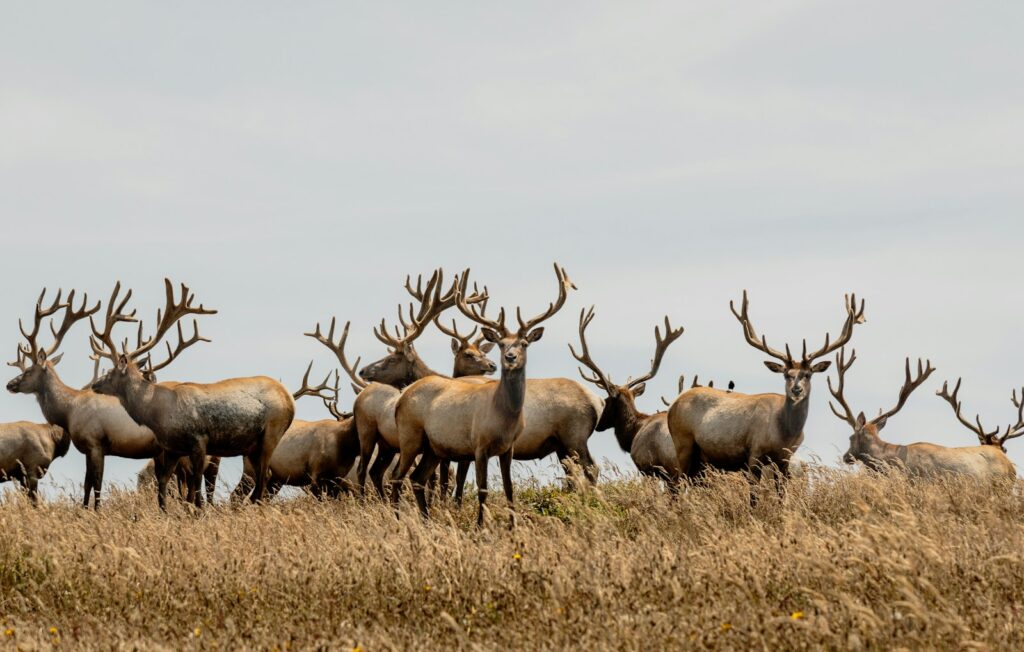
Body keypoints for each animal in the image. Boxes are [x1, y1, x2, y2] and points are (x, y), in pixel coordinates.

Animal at [5, 289, 174, 509]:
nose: (9, 384)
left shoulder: (95, 443)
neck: (69, 411)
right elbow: (87, 484)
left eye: (28, 371)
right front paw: (84, 509)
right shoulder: (87, 448)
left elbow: (97, 483)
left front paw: (96, 511)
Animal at [90, 279, 295, 508]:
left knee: (263, 476)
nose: (95, 384)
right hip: (251, 445)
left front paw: (197, 511)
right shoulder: (173, 448)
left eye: (111, 372)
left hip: (272, 431)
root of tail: (289, 398)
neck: (157, 413)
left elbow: (195, 485)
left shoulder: (199, 439)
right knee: (261, 477)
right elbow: (164, 482)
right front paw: (165, 511)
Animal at [305, 269, 492, 497]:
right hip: (376, 439)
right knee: (370, 471)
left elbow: (441, 479)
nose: (363, 370)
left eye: (393, 359)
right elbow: (437, 479)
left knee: (372, 472)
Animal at [392, 263, 575, 525]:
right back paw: (398, 520)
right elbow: (483, 488)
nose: (510, 357)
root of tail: (401, 398)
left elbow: (509, 488)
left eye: (524, 344)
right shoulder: (479, 444)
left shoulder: (508, 448)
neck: (503, 418)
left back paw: (427, 520)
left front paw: (512, 526)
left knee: (416, 478)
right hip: (410, 434)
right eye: (501, 344)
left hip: (433, 446)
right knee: (397, 477)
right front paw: (481, 526)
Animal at [667, 290, 866, 487]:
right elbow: (754, 492)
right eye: (786, 374)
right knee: (678, 483)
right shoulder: (755, 452)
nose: (796, 390)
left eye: (808, 374)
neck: (784, 434)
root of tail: (673, 405)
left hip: (701, 459)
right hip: (682, 442)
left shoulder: (785, 459)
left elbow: (782, 491)